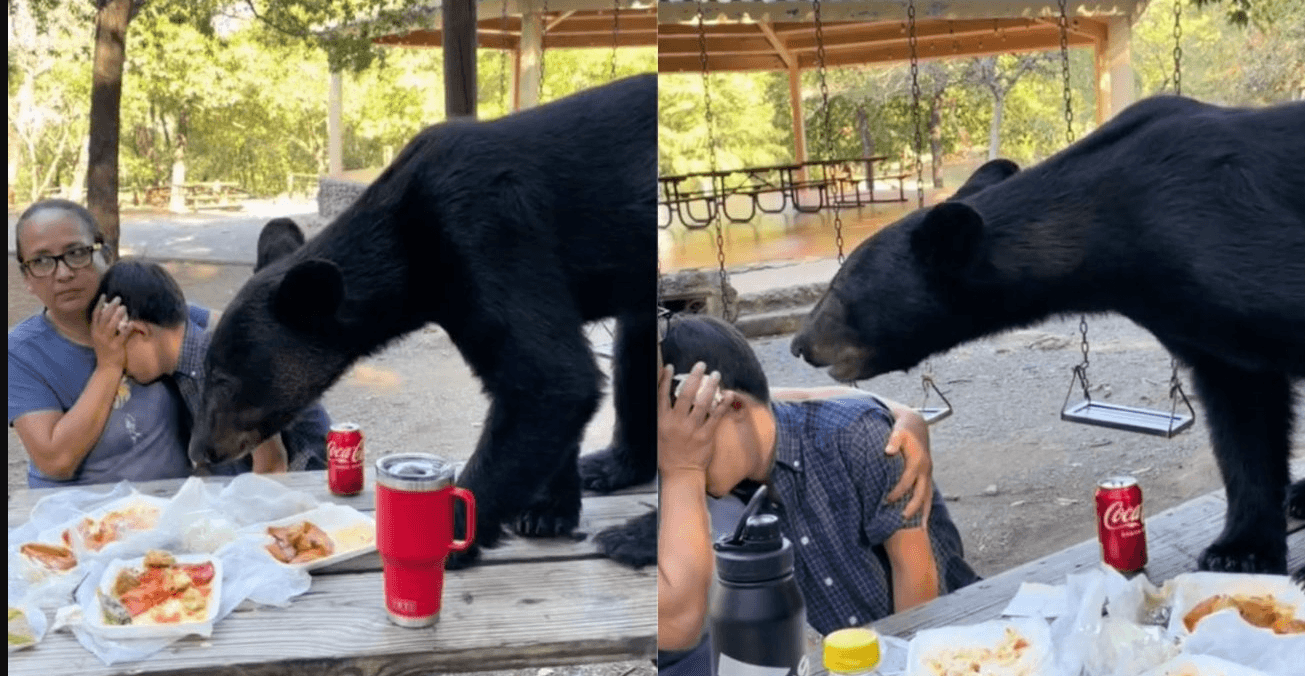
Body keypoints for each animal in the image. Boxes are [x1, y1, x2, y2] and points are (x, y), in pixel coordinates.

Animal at [187, 75, 658, 567]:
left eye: (223, 379)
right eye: (206, 373)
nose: (199, 450)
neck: (411, 247)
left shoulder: (489, 232)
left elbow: (550, 379)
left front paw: (450, 536)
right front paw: (547, 510)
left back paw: (636, 535)